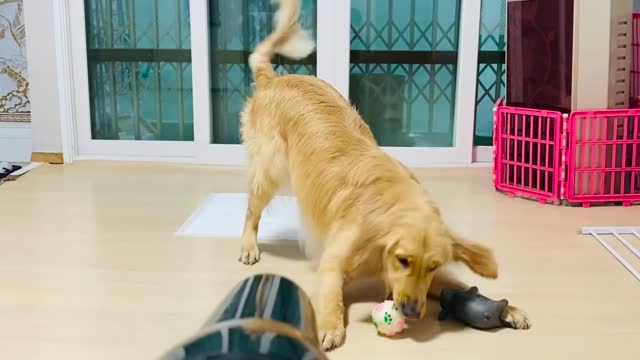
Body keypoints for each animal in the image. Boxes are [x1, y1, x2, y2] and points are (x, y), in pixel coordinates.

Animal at [239, 0, 528, 350]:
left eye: (432, 265)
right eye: (403, 260)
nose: (412, 312)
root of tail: (273, 79)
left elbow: (458, 285)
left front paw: (509, 309)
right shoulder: (333, 261)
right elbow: (331, 296)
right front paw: (329, 326)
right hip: (270, 170)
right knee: (251, 211)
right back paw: (248, 246)